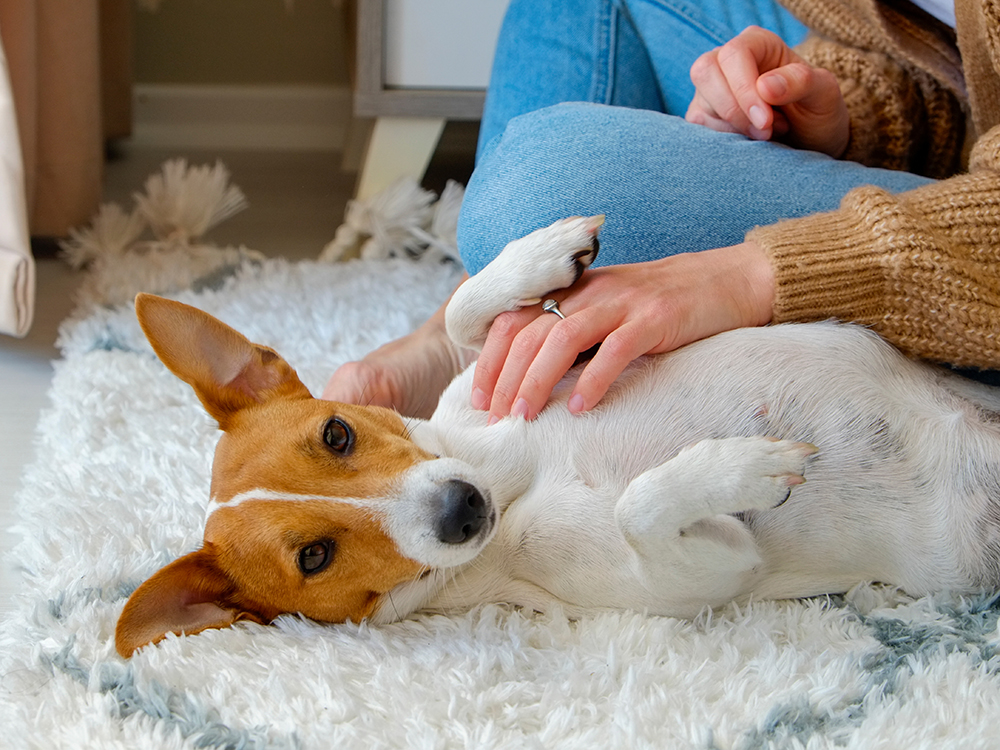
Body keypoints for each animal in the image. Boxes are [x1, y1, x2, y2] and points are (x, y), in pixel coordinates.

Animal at [113, 216, 1000, 656]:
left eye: (336, 433)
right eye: (314, 558)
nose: (461, 509)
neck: (509, 479)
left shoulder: (488, 384)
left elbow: (467, 314)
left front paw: (541, 256)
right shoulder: (704, 574)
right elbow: (644, 505)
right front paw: (743, 467)